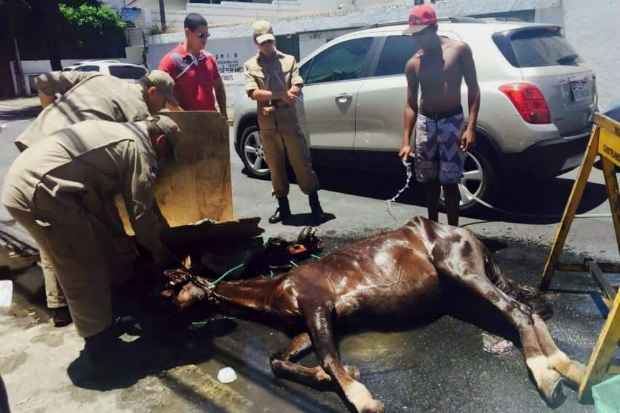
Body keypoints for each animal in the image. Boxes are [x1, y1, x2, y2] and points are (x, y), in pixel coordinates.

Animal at [162, 216, 584, 412]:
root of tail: (471, 237)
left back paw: (547, 378)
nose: (165, 325)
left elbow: (330, 358)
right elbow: (278, 359)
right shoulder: (306, 324)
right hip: (466, 289)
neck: (279, 287)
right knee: (529, 311)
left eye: (172, 287)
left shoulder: (318, 305)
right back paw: (570, 369)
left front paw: (362, 398)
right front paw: (327, 376)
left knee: (517, 311)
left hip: (462, 273)